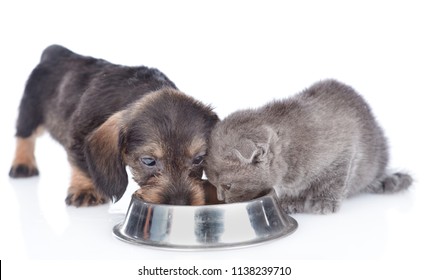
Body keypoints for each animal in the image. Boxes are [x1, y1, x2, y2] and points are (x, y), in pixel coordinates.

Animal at [10, 45, 221, 206]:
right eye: (148, 161)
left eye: (199, 159)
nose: (180, 204)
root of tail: (56, 51)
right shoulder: (78, 136)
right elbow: (83, 166)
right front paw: (86, 190)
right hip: (30, 112)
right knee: (24, 136)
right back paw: (22, 164)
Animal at [206, 80, 412, 213]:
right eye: (213, 184)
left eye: (228, 186)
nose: (221, 199)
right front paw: (290, 201)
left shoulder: (343, 155)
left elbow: (332, 182)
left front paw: (323, 202)